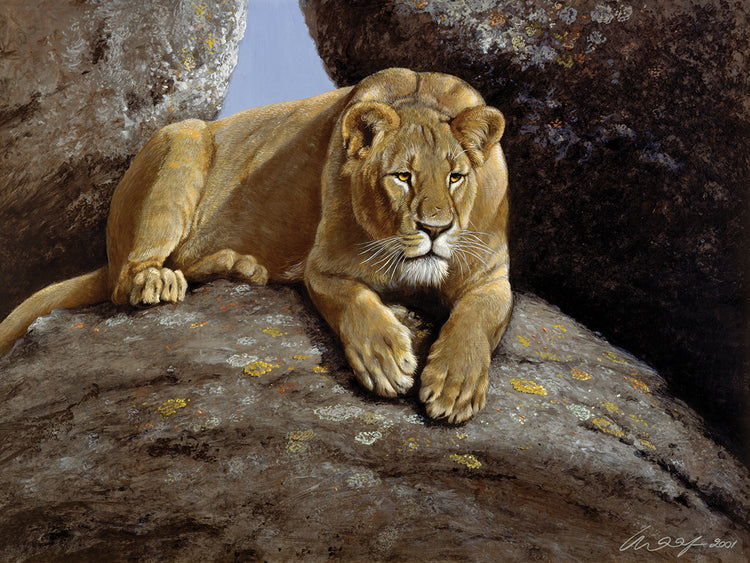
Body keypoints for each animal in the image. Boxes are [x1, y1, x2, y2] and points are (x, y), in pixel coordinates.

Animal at [0, 68, 512, 423]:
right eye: (402, 177)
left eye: (456, 177)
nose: (435, 229)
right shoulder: (324, 266)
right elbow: (354, 301)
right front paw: (385, 358)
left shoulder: (494, 277)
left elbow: (476, 317)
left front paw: (455, 386)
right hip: (183, 138)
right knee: (125, 281)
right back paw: (162, 279)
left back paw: (236, 265)